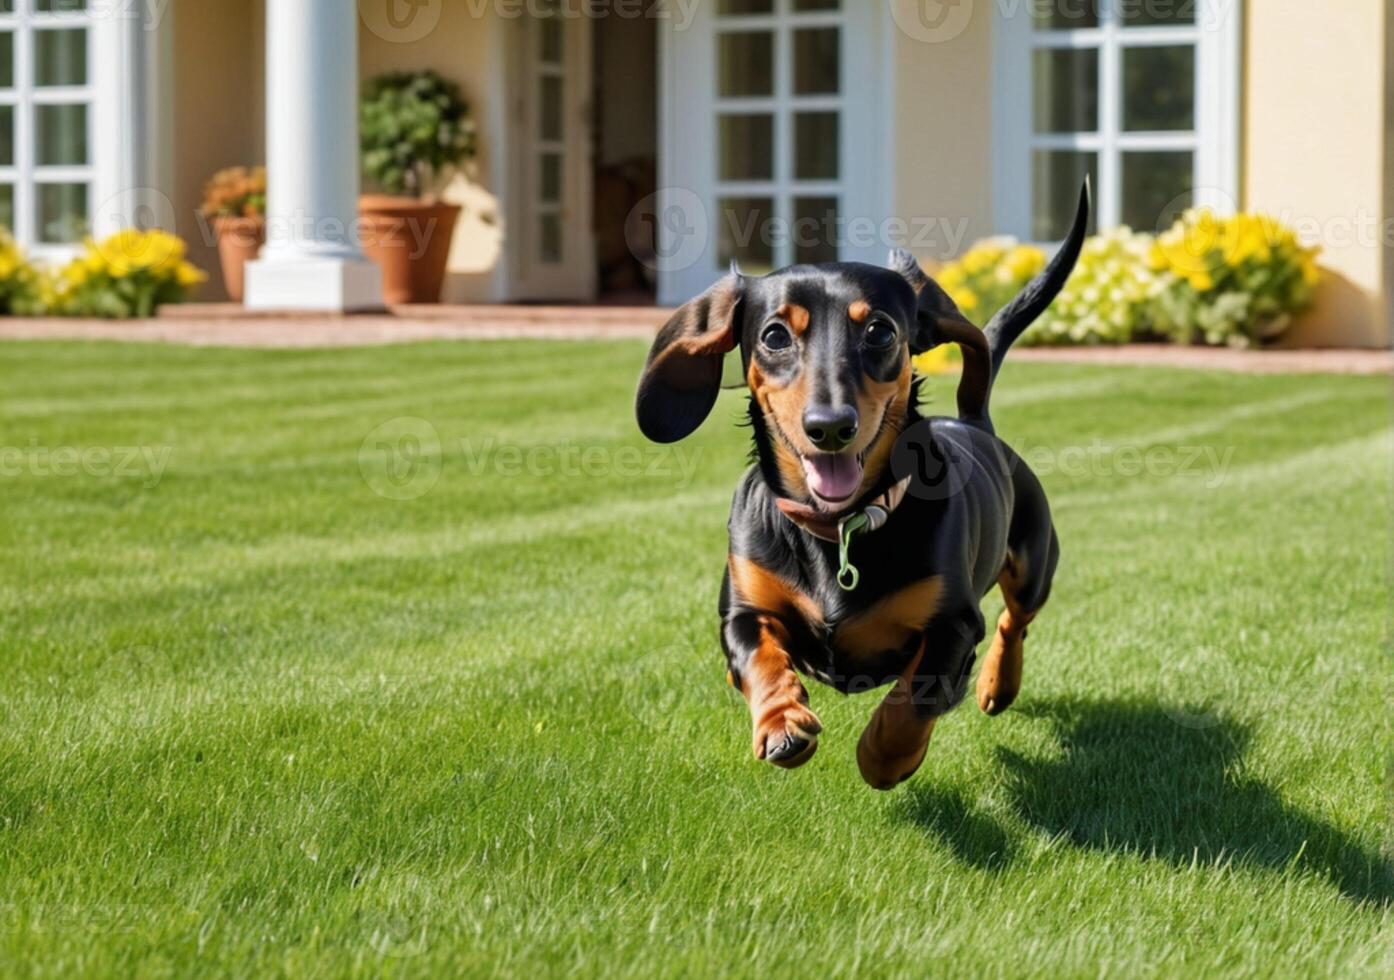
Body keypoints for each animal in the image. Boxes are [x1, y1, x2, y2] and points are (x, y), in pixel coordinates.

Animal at [635, 184, 1087, 791]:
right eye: (774, 334)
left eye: (879, 330)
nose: (830, 427)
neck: (840, 527)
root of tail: (976, 422)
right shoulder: (743, 612)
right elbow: (760, 660)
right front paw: (782, 722)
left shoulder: (954, 624)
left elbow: (916, 696)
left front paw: (883, 755)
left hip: (1034, 565)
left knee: (1015, 621)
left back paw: (997, 684)